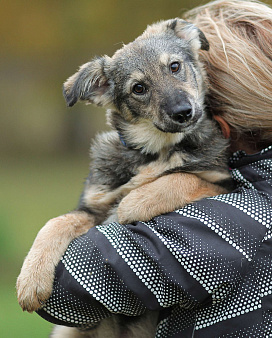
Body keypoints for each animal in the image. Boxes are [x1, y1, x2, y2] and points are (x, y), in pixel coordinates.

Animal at [16, 19, 230, 338]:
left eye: (175, 66)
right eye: (138, 88)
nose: (183, 112)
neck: (154, 150)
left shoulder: (224, 181)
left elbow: (181, 178)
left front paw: (136, 202)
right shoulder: (93, 206)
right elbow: (55, 224)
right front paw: (31, 280)